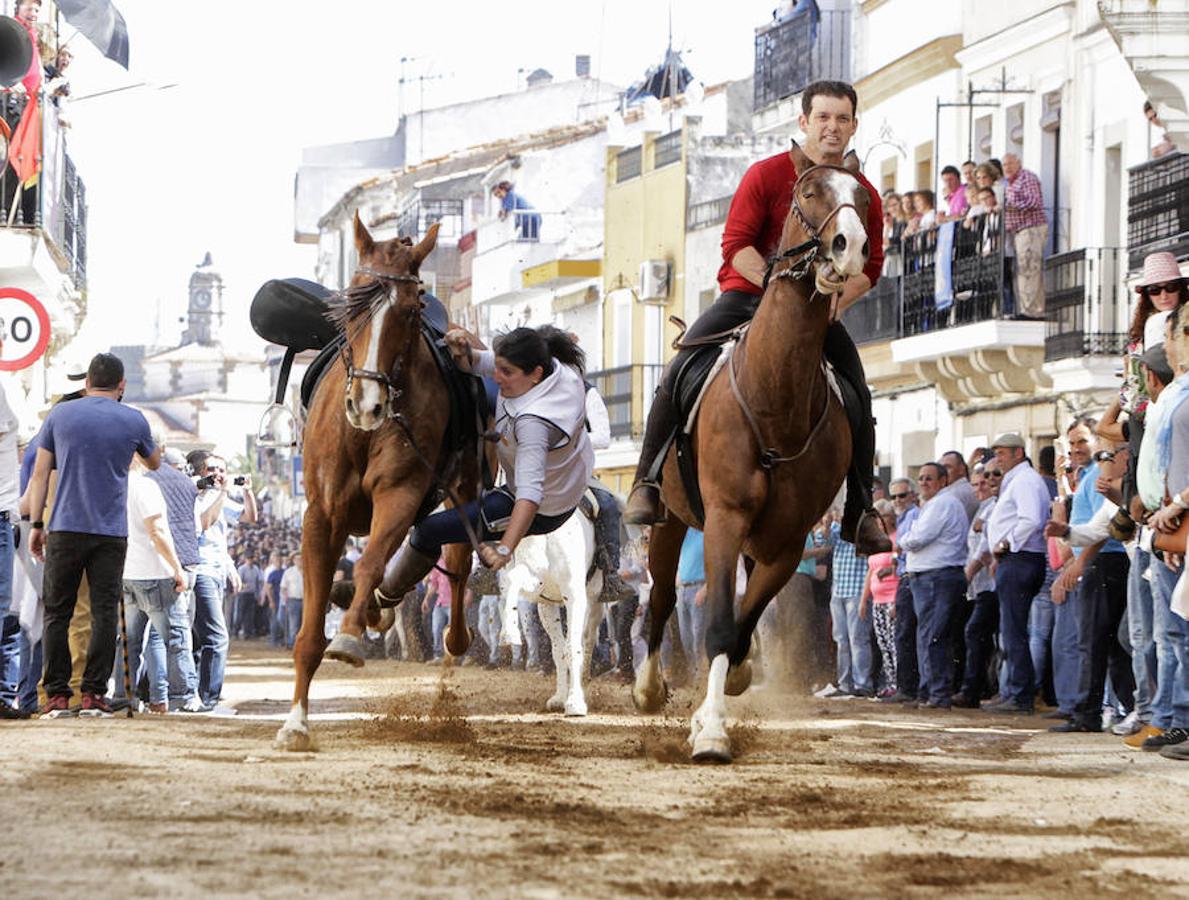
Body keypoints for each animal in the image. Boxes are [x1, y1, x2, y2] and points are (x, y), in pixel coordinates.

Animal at [277, 214, 477, 746]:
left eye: (409, 310)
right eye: (353, 303)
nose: (366, 403)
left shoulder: (400, 495)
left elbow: (369, 563)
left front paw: (349, 634)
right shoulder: (321, 515)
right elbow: (309, 631)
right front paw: (295, 722)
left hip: (464, 487)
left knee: (458, 558)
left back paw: (447, 635)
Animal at [499, 513, 604, 718]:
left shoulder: (574, 594)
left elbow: (573, 648)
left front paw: (575, 703)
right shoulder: (539, 586)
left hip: (594, 601)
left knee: (587, 639)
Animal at [632, 145, 875, 756]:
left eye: (864, 200)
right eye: (807, 193)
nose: (850, 246)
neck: (775, 395)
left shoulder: (789, 542)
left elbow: (742, 622)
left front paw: (724, 695)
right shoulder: (724, 516)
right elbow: (720, 622)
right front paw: (712, 731)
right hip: (670, 519)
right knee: (662, 597)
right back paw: (648, 687)